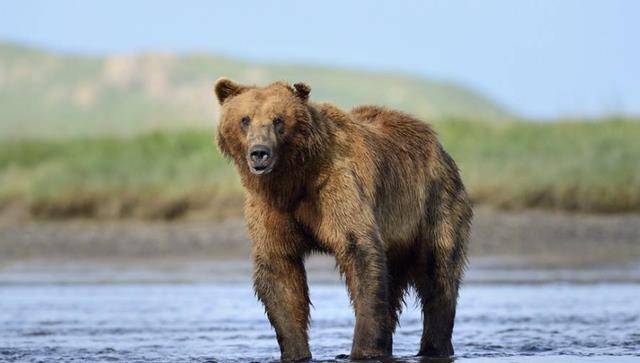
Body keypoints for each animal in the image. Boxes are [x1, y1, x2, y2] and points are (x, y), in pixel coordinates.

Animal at [215, 78, 470, 362]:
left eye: (278, 119)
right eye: (245, 119)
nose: (260, 153)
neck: (293, 179)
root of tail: (439, 147)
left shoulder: (337, 186)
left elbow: (359, 250)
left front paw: (363, 351)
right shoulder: (270, 207)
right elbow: (279, 270)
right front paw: (296, 352)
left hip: (433, 204)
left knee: (439, 275)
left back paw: (434, 348)